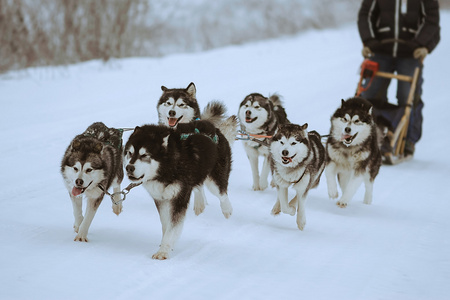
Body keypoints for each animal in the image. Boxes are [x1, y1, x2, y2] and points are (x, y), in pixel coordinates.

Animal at [125, 120, 234, 258]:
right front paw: (166, 244)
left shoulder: (179, 198)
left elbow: (172, 227)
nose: (129, 168)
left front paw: (163, 251)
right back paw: (200, 204)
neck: (168, 169)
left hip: (214, 181)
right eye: (130, 153)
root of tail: (213, 127)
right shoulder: (160, 199)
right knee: (198, 186)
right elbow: (166, 225)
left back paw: (227, 209)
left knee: (222, 193)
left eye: (144, 155)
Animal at [156, 82, 237, 216]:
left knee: (222, 193)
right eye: (168, 103)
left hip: (216, 174)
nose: (172, 112)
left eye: (181, 104)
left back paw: (226, 209)